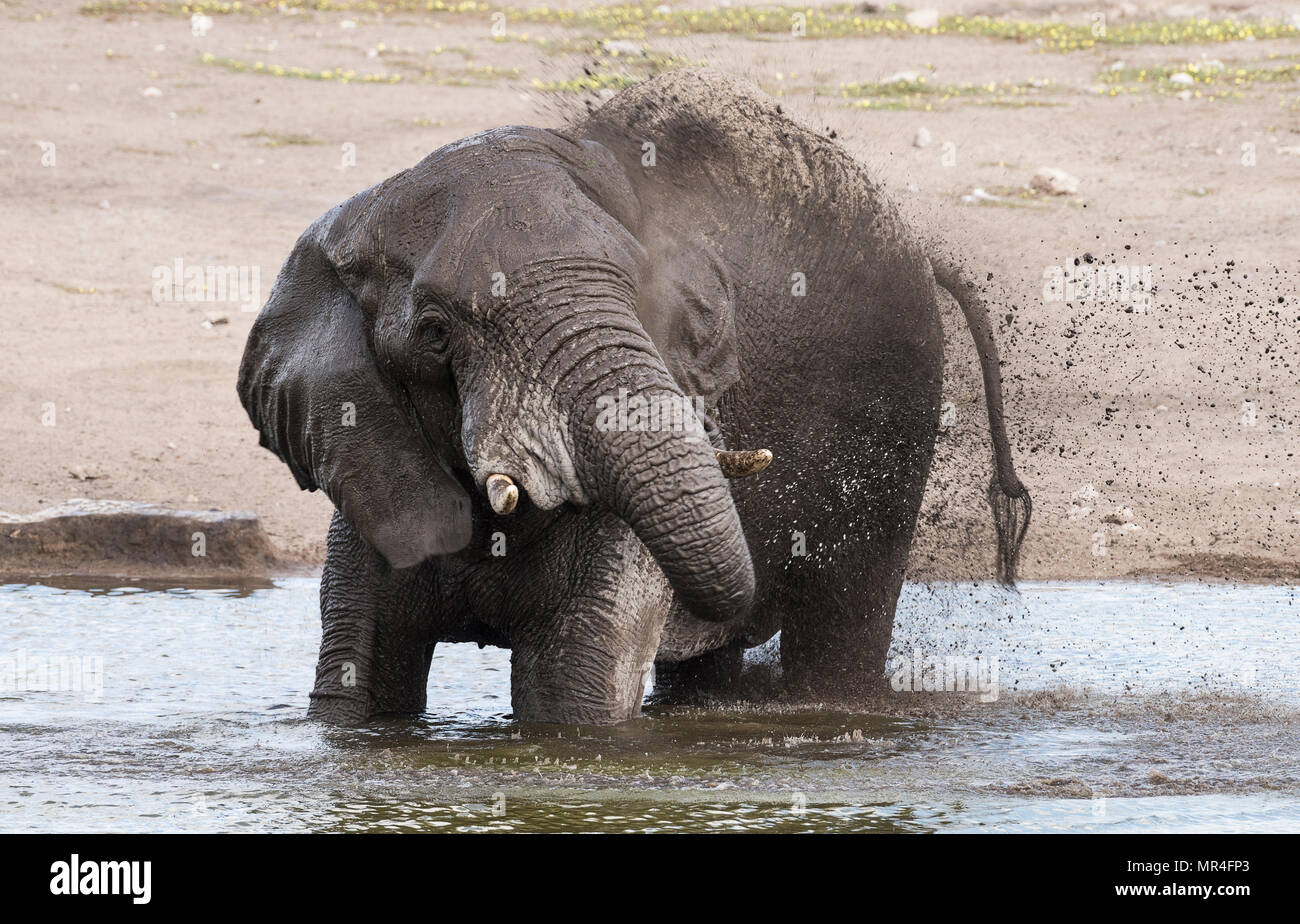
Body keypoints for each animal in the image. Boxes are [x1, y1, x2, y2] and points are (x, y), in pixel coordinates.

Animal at [239, 68, 1029, 727]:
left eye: (638, 290)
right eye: (434, 334)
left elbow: (573, 697)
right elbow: (356, 692)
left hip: (900, 400)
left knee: (842, 621)